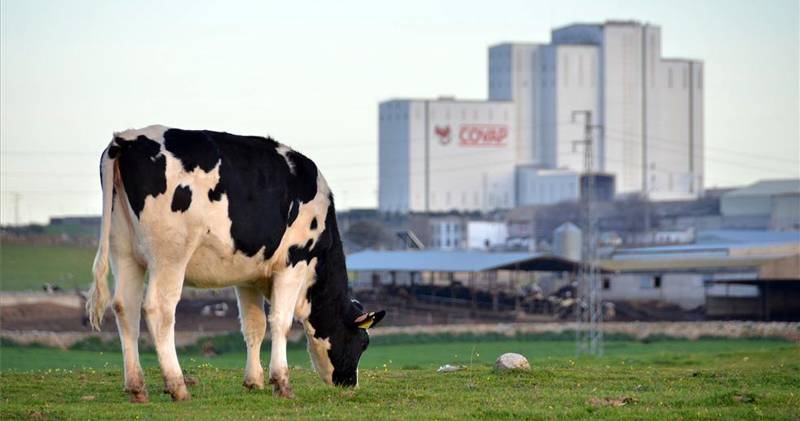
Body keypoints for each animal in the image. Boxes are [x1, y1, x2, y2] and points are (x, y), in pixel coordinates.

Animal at [85, 125, 385, 403]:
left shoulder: (248, 275)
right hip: (169, 255)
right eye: (363, 342)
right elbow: (280, 321)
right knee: (159, 309)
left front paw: (254, 381)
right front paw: (281, 383)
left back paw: (137, 387)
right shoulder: (293, 263)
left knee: (125, 307)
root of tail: (126, 139)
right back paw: (177, 385)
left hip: (124, 252)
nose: (350, 384)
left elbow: (254, 325)